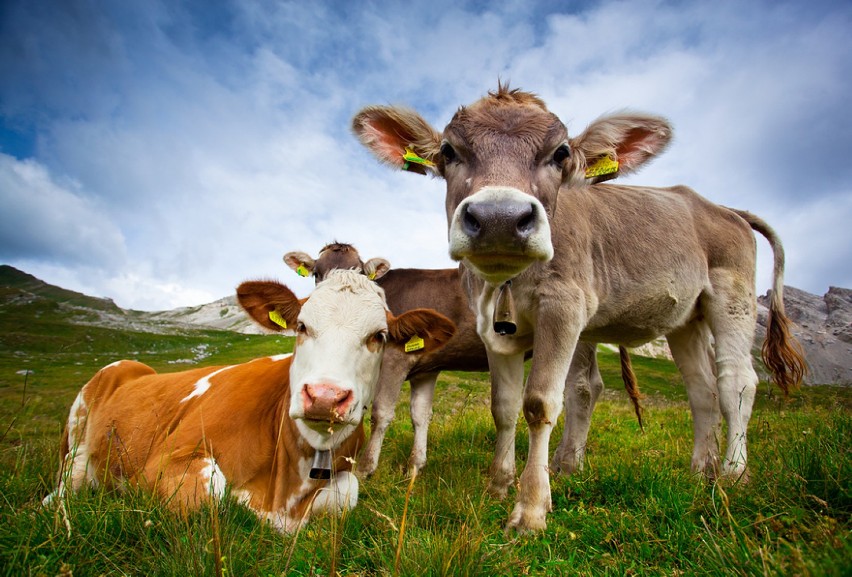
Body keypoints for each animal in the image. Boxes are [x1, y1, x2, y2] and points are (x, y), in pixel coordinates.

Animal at [43, 270, 456, 532]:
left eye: (379, 336)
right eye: (301, 326)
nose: (325, 397)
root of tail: (137, 366)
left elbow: (346, 494)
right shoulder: (163, 462)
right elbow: (207, 495)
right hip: (79, 428)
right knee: (71, 475)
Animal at [282, 241, 644, 474]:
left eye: (359, 271)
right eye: (316, 274)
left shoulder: (395, 358)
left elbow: (381, 412)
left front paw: (365, 469)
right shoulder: (426, 368)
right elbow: (420, 414)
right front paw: (414, 467)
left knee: (582, 389)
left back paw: (566, 466)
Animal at [352, 82, 804, 532]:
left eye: (561, 153)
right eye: (448, 151)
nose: (500, 218)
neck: (508, 284)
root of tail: (721, 207)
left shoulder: (564, 307)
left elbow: (539, 403)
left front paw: (531, 509)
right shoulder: (491, 328)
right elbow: (504, 407)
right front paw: (498, 486)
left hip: (732, 296)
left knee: (736, 382)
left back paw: (733, 474)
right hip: (686, 321)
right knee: (701, 389)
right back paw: (700, 470)